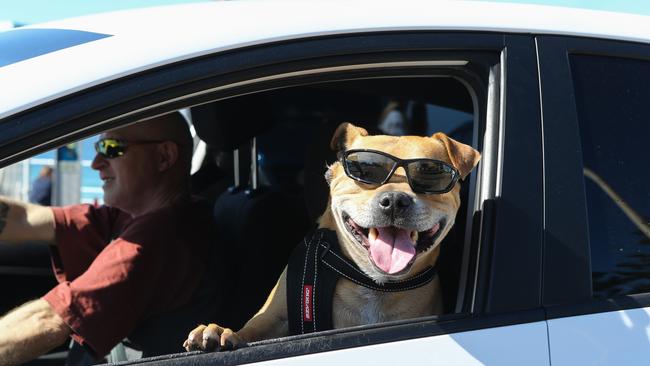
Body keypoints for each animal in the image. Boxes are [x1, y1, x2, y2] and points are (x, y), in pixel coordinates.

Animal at [181, 121, 476, 350]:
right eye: (364, 171)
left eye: (430, 173)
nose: (394, 199)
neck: (375, 284)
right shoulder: (275, 319)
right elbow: (250, 330)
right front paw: (217, 331)